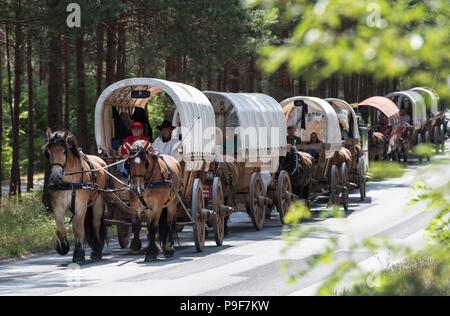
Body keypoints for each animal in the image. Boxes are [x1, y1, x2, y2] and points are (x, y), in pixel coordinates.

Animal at [43, 128, 108, 264]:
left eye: (64, 151)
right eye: (48, 152)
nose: (55, 177)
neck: (69, 181)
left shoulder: (80, 206)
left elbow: (79, 228)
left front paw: (78, 255)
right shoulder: (57, 207)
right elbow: (61, 229)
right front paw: (63, 247)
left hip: (98, 202)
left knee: (96, 223)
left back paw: (97, 250)